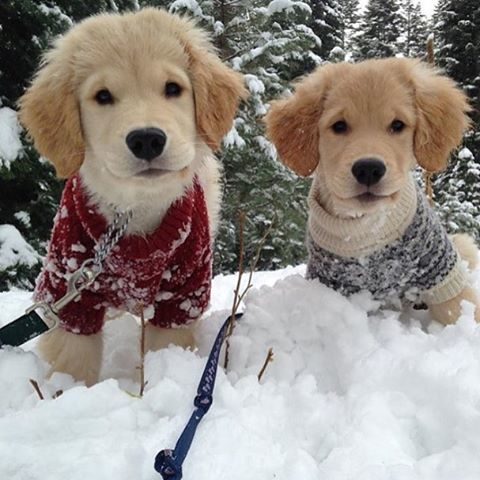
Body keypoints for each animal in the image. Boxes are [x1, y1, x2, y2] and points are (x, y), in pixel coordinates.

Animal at [19, 8, 246, 386]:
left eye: (173, 88)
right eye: (103, 96)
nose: (147, 139)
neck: (134, 211)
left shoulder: (183, 293)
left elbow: (164, 347)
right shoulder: (67, 288)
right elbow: (73, 361)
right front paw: (69, 393)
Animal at [266, 57, 480, 326]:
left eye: (398, 125)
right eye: (339, 126)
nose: (368, 169)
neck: (367, 230)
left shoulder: (440, 273)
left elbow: (460, 311)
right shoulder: (332, 283)